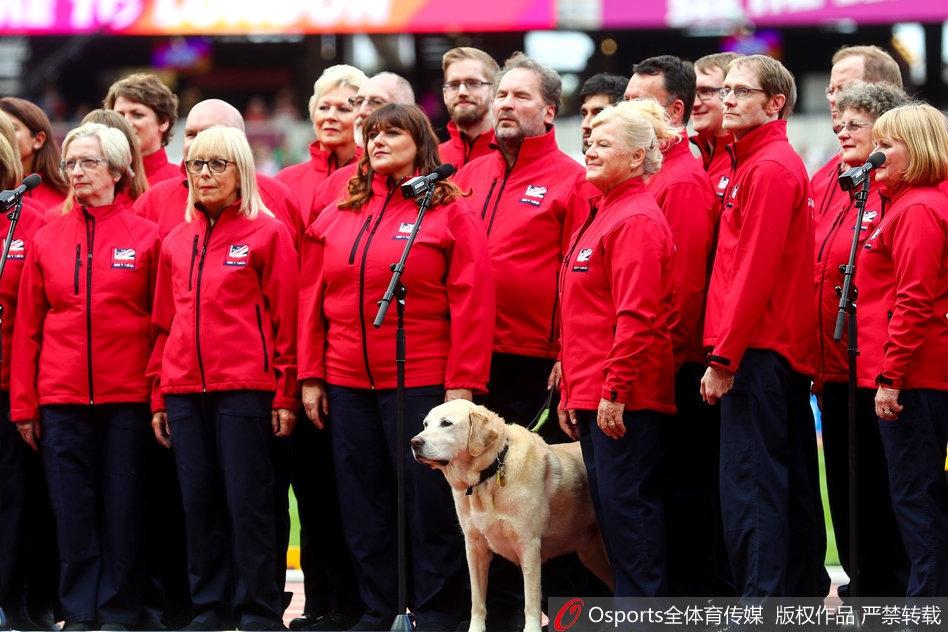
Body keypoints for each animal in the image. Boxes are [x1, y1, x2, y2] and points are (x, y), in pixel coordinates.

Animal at [412, 400, 612, 632]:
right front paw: (476, 628)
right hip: (592, 554)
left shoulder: (529, 545)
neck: (489, 475)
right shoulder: (474, 547)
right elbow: (477, 600)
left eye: (446, 423)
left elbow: (531, 600)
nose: (414, 442)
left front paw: (532, 628)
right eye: (425, 424)